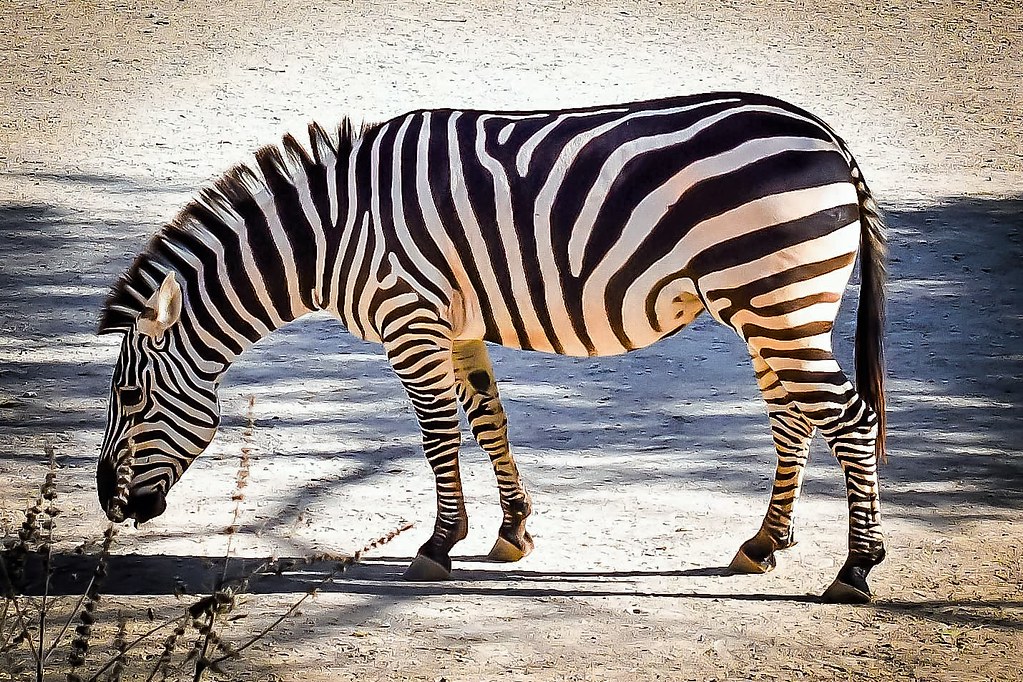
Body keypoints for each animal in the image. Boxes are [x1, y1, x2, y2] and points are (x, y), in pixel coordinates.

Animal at [97, 92, 887, 604]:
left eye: (128, 397)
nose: (109, 504)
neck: (331, 234)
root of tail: (831, 137)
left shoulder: (408, 316)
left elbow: (438, 435)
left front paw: (439, 544)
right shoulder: (458, 324)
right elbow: (488, 422)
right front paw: (512, 531)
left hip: (773, 300)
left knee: (851, 420)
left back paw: (855, 570)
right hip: (775, 309)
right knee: (794, 419)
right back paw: (764, 543)